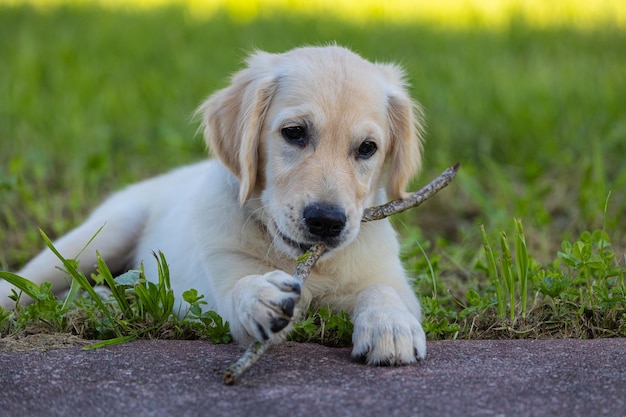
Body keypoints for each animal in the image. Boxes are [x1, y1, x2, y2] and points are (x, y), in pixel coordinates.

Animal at [0, 45, 424, 364]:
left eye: (367, 148)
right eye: (294, 133)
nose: (326, 222)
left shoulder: (386, 272)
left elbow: (382, 291)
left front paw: (391, 326)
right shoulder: (223, 274)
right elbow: (241, 289)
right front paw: (259, 296)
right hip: (102, 234)